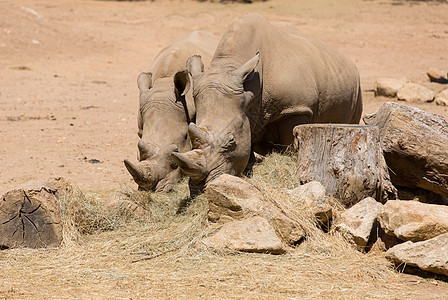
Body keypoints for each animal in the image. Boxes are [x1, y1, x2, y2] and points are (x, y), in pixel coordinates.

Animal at [172, 14, 364, 196]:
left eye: (231, 141)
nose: (200, 189)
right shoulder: (245, 112)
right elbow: (248, 145)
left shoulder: (296, 108)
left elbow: (289, 142)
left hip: (357, 87)